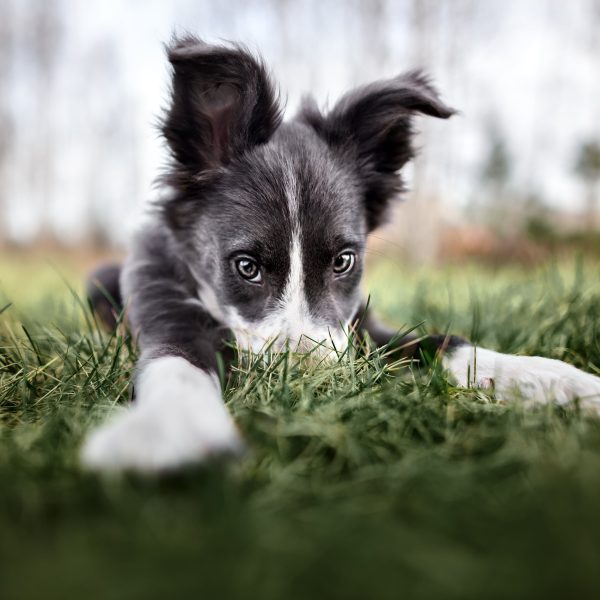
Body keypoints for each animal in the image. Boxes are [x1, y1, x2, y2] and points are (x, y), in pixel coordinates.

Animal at [82, 36, 600, 474]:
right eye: (246, 267)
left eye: (343, 261)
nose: (311, 383)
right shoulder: (166, 310)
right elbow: (177, 365)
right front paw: (169, 429)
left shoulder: (362, 327)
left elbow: (446, 344)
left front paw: (563, 382)